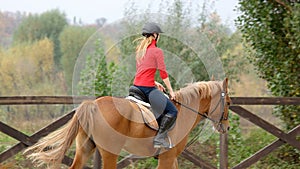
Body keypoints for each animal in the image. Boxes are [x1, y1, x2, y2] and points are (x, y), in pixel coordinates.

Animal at [25, 77, 232, 168]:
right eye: (229, 102)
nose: (227, 127)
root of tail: (94, 105)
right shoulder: (167, 157)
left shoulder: (171, 158)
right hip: (110, 153)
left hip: (85, 148)